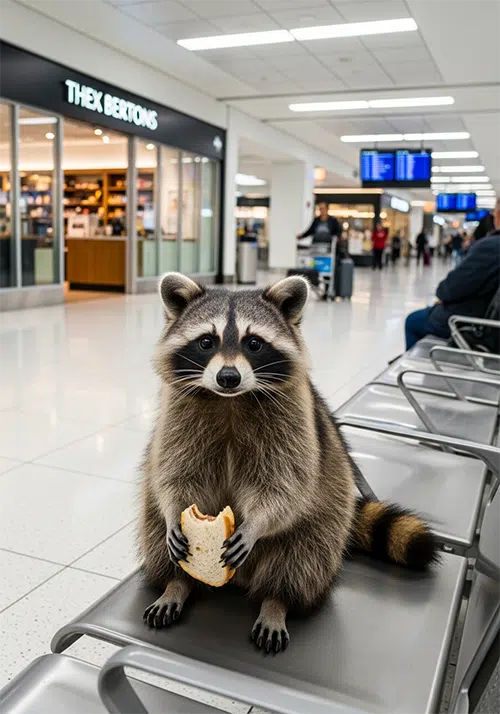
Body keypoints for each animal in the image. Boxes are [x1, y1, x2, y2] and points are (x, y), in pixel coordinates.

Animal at [139, 272, 438, 653]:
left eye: (254, 343)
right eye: (206, 341)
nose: (228, 377)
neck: (230, 400)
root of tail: (239, 580)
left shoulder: (294, 423)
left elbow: (285, 485)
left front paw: (256, 524)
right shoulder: (178, 416)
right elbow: (173, 472)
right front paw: (173, 513)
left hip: (326, 517)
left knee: (304, 553)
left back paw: (277, 602)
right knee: (152, 525)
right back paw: (176, 584)